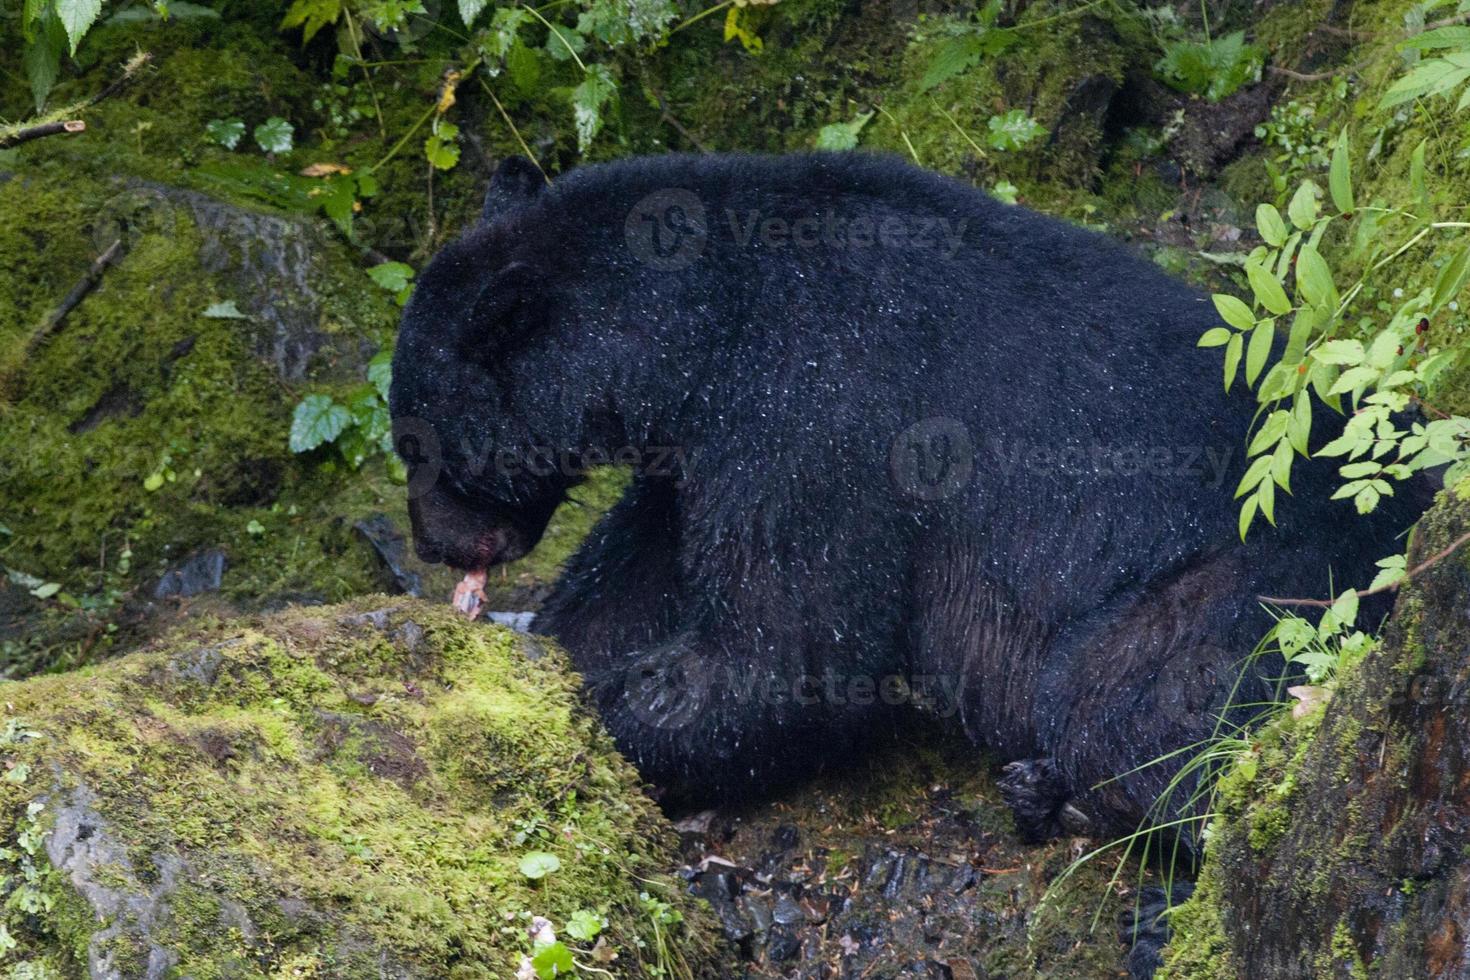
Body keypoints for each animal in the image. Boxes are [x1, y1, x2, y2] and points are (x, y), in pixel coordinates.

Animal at [391, 151, 1422, 846]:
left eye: (417, 444)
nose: (437, 546)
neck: (702, 330)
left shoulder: (817, 415)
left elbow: (791, 648)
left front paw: (595, 716)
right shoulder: (701, 452)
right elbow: (645, 569)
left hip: (1273, 572)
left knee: (1125, 694)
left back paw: (1067, 791)